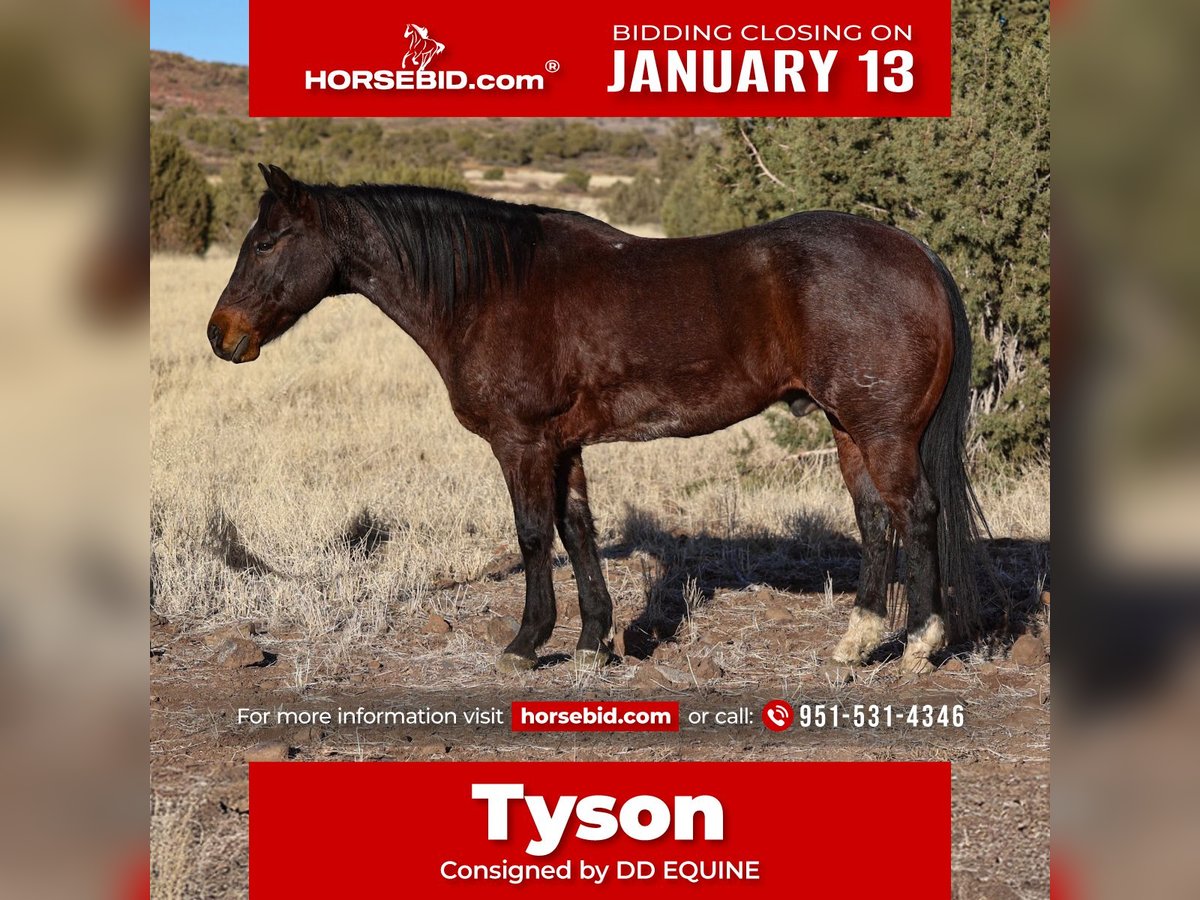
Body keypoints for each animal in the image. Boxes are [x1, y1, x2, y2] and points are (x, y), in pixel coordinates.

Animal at [211, 168, 988, 676]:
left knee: (917, 513)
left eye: (268, 241)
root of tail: (915, 252)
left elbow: (532, 535)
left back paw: (921, 646)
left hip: (883, 432)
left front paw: (526, 644)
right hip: (848, 428)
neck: (492, 286)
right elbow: (576, 529)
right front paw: (591, 643)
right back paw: (856, 643)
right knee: (875, 519)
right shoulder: (565, 446)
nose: (222, 335)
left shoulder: (522, 443)